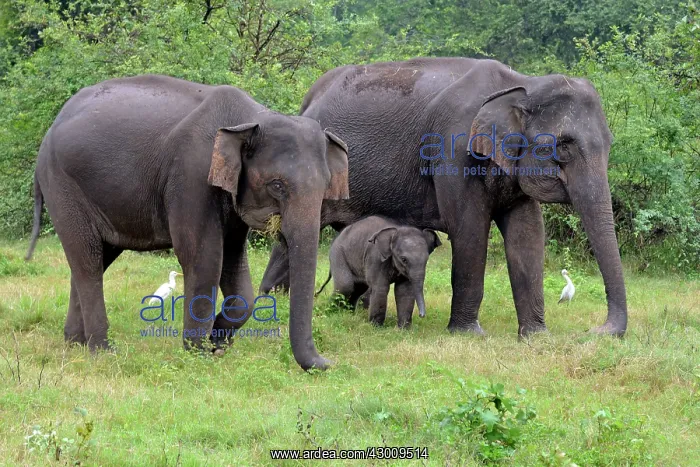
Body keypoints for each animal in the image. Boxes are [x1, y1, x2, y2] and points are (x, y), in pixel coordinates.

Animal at [25, 74, 349, 370]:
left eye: (326, 186)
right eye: (277, 185)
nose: (328, 363)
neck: (251, 118)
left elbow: (233, 259)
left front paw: (217, 345)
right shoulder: (192, 175)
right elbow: (203, 257)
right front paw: (198, 354)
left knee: (95, 257)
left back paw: (74, 343)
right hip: (62, 185)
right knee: (88, 260)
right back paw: (103, 352)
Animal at [260, 57, 628, 337]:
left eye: (611, 144)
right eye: (564, 146)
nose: (596, 331)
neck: (522, 83)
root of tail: (307, 102)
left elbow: (527, 236)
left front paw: (536, 337)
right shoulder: (452, 151)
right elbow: (470, 230)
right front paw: (469, 334)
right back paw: (273, 304)